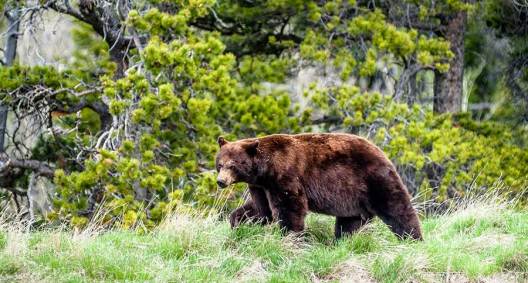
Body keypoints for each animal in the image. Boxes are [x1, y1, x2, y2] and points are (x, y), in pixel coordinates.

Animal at [214, 134, 420, 241]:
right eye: (219, 164)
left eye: (233, 165)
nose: (220, 181)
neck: (264, 168)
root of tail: (381, 151)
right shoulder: (260, 186)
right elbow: (261, 210)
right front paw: (236, 222)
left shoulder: (284, 176)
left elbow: (290, 207)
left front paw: (290, 236)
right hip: (352, 197)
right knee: (349, 222)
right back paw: (342, 242)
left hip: (373, 179)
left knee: (397, 208)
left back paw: (413, 238)